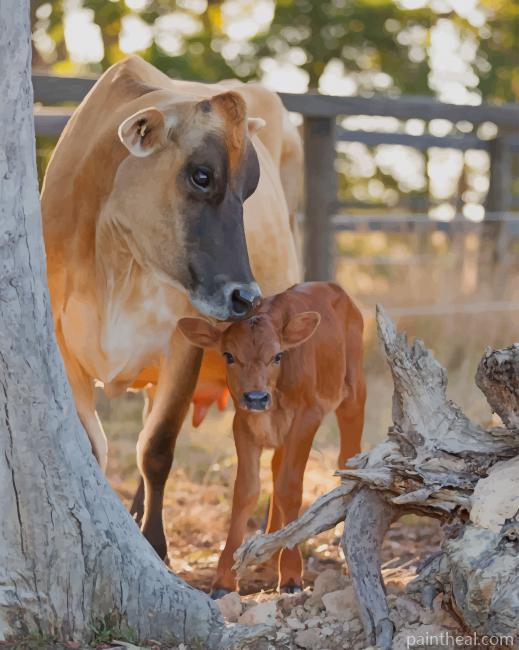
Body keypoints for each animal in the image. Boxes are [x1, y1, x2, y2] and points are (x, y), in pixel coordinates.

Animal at [41, 55, 301, 559]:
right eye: (202, 175)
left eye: (251, 188)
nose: (246, 297)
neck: (115, 261)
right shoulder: (62, 345)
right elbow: (93, 445)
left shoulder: (184, 341)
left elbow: (157, 448)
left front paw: (156, 546)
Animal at [178, 281, 366, 596]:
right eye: (228, 355)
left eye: (277, 356)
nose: (256, 396)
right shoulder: (243, 423)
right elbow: (246, 491)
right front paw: (224, 579)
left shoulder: (307, 417)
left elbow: (290, 487)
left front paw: (290, 574)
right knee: (277, 468)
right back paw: (268, 555)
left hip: (353, 394)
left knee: (347, 458)